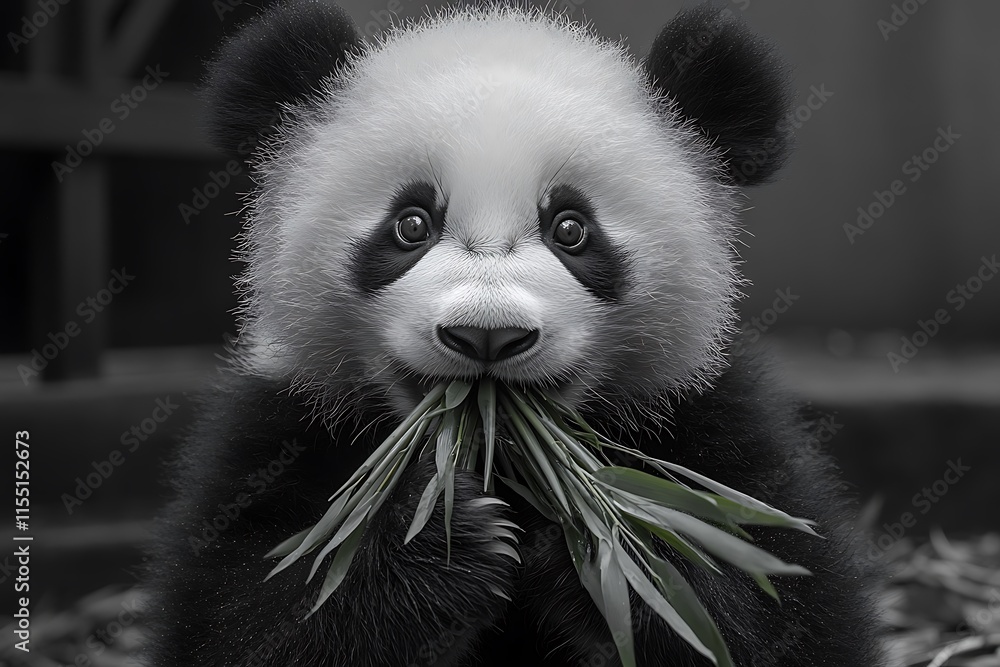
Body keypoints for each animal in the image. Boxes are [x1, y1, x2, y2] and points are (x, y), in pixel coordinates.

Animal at [144, 2, 884, 666]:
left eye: (571, 229)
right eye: (411, 224)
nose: (487, 336)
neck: (494, 455)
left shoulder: (710, 418)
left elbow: (786, 610)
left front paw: (602, 542)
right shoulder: (282, 423)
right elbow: (239, 615)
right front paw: (442, 539)